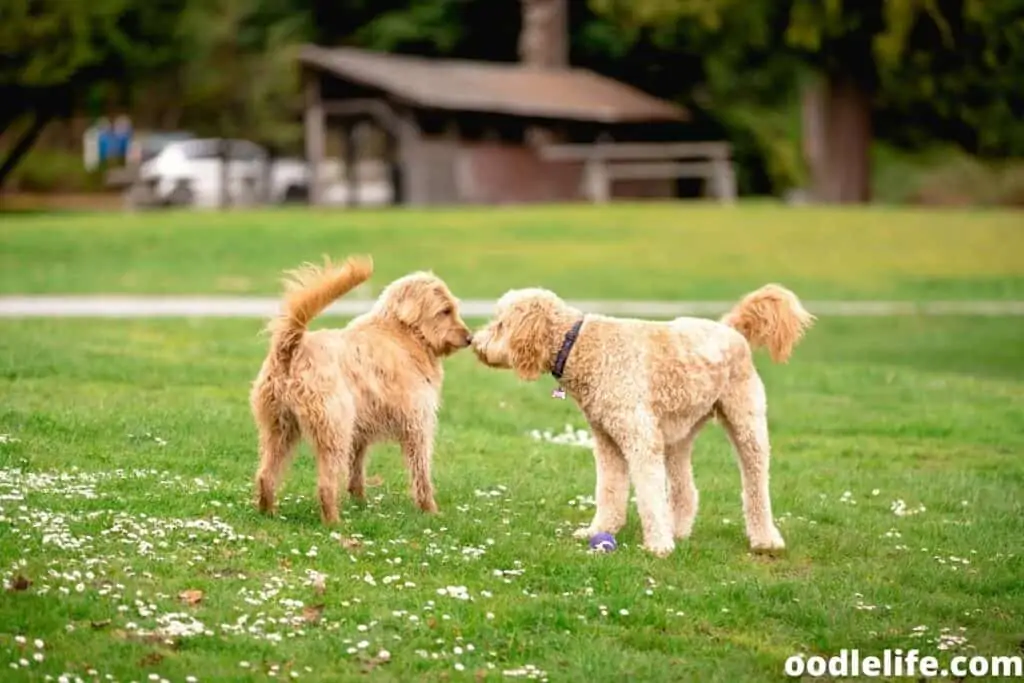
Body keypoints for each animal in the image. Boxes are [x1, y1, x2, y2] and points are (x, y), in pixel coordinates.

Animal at [249, 254, 473, 524]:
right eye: (445, 311)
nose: (470, 338)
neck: (403, 333)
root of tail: (291, 347)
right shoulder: (417, 425)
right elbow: (421, 473)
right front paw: (430, 510)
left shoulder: (360, 434)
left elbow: (356, 471)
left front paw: (360, 502)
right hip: (334, 431)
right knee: (325, 484)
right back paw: (334, 522)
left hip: (279, 430)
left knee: (266, 474)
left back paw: (268, 513)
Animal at [471, 282, 815, 557]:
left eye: (500, 324)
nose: (474, 341)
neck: (580, 345)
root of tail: (731, 328)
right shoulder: (608, 441)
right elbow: (609, 491)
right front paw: (599, 530)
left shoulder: (639, 438)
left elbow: (649, 495)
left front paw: (658, 546)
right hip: (679, 434)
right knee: (686, 490)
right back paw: (679, 530)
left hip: (746, 422)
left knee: (756, 483)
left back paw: (765, 539)